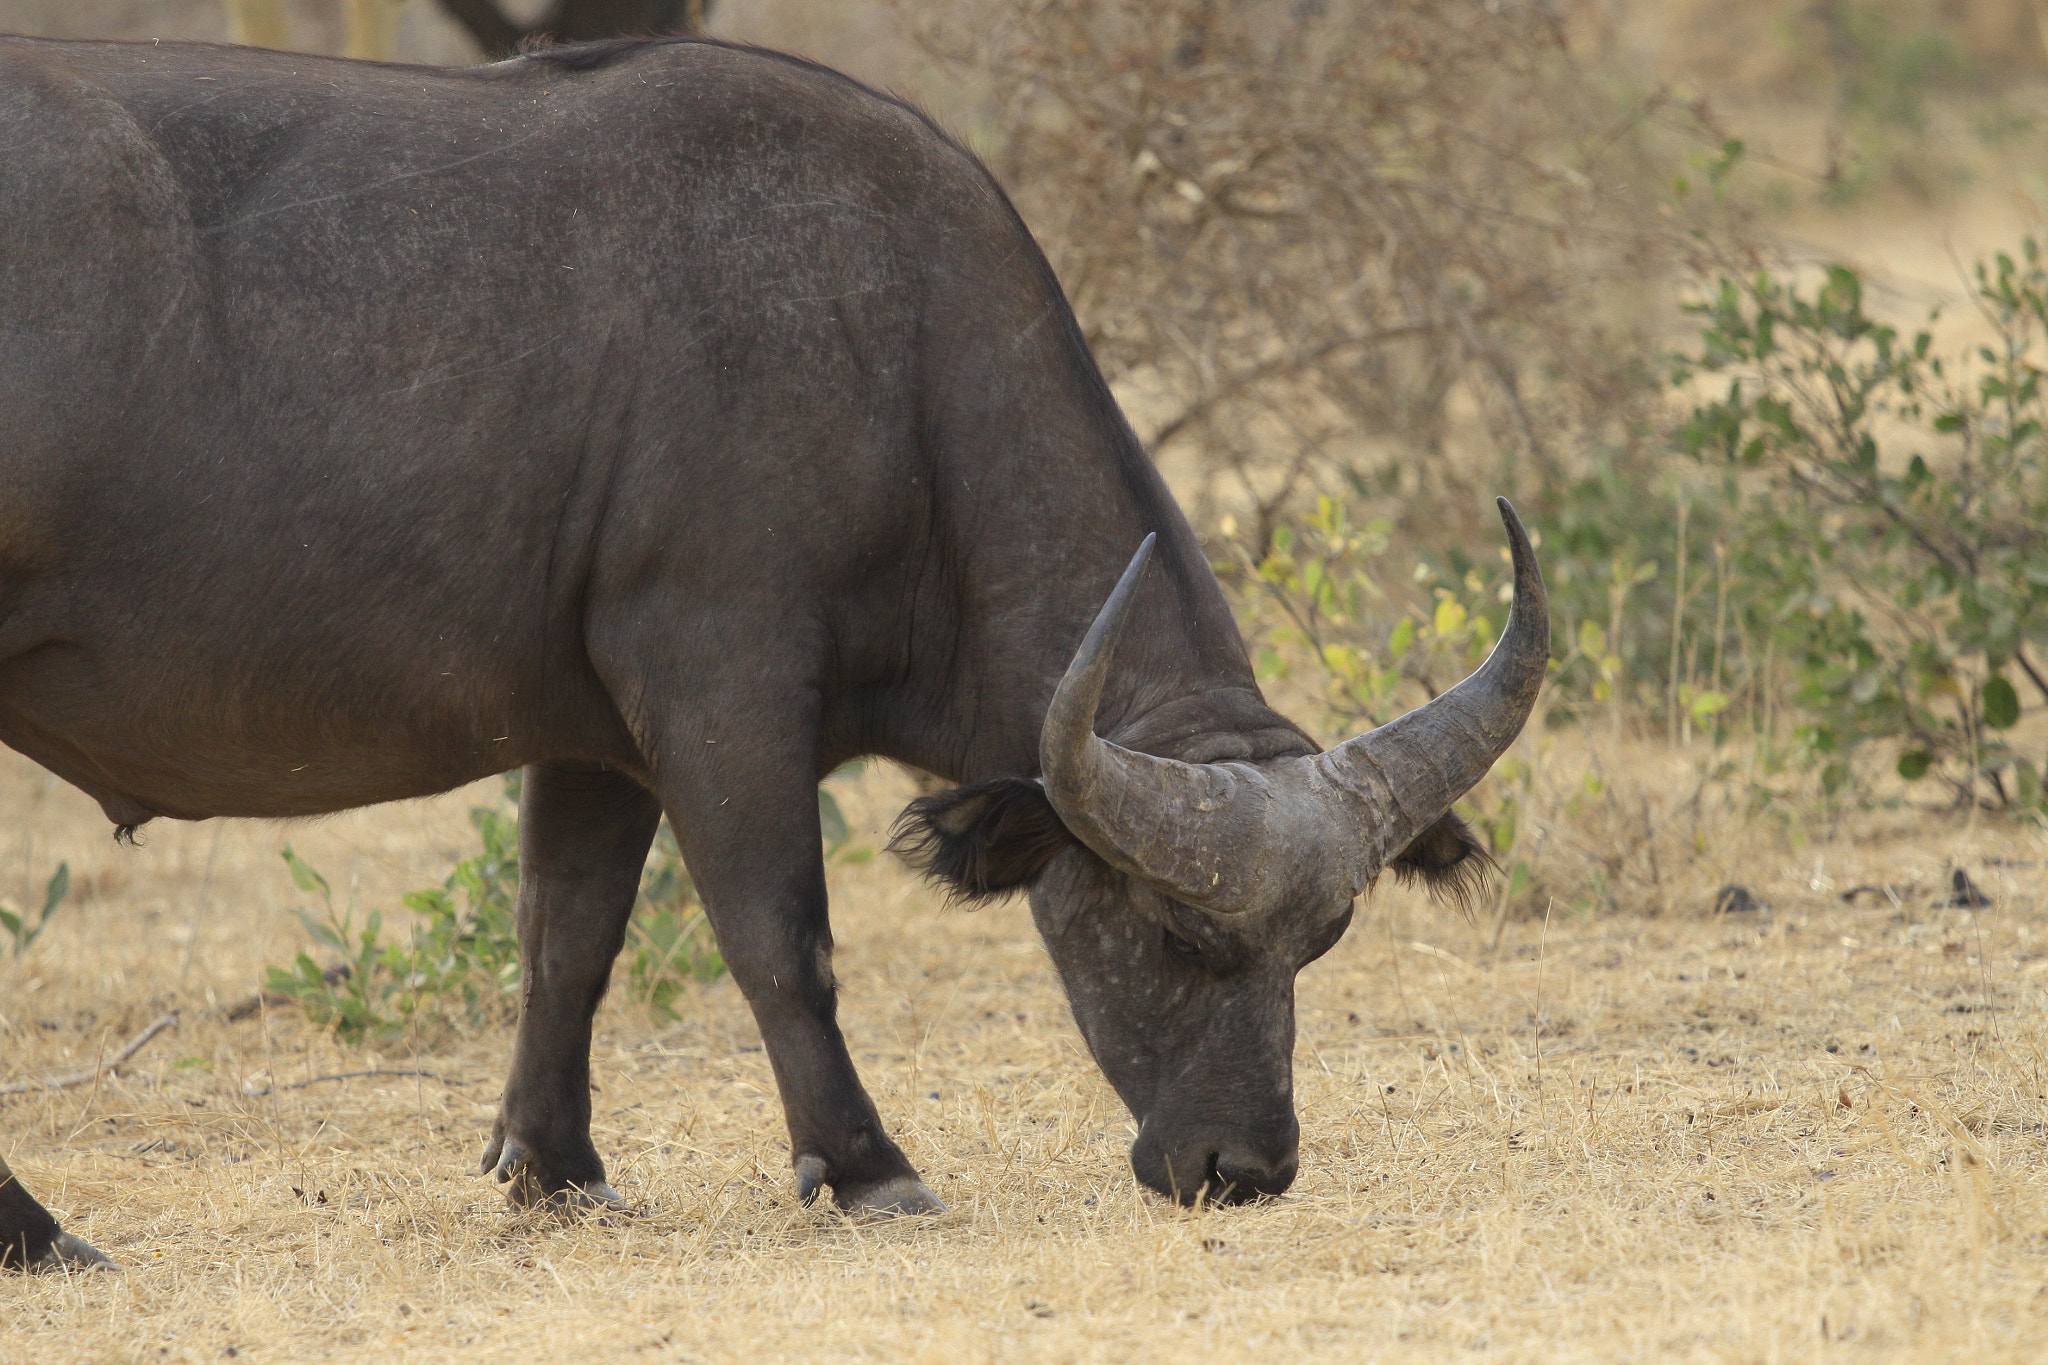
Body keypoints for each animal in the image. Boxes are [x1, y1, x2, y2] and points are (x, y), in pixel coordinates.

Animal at [0, 34, 1540, 1268]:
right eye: (1174, 935)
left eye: (1321, 945)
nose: (1243, 1169)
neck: (894, 360)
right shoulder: (720, 688)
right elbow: (777, 934)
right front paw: (865, 1166)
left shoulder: (593, 736)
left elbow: (566, 937)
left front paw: (555, 1170)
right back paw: (42, 1235)